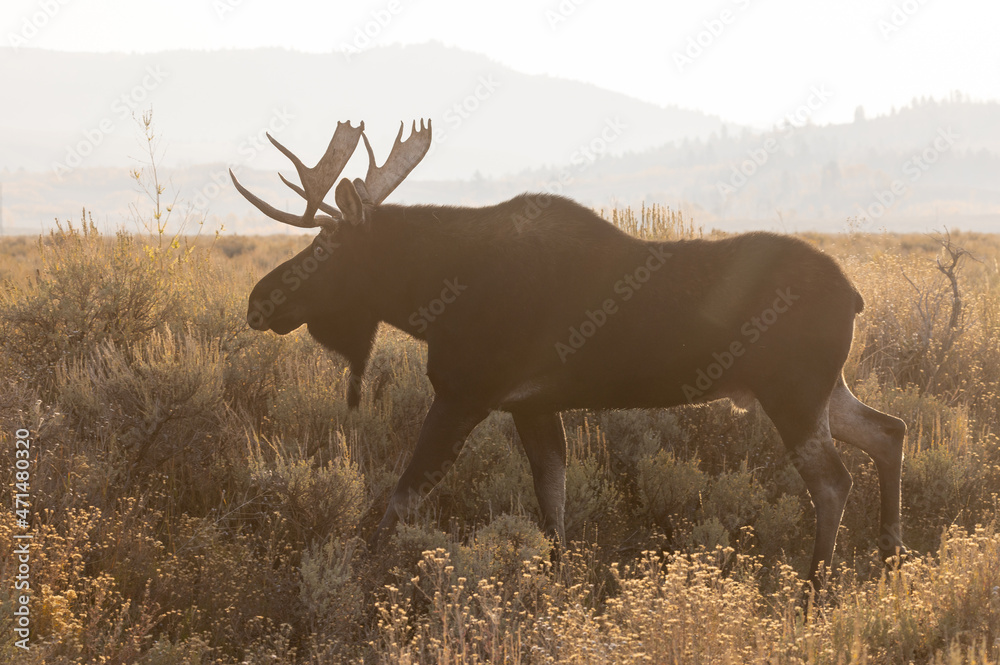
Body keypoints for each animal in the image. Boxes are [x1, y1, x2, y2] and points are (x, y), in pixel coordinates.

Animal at [231, 119, 908, 585]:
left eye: (327, 250)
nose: (259, 300)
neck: (430, 299)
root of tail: (854, 295)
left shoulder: (466, 392)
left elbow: (403, 494)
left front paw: (364, 572)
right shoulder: (531, 404)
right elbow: (551, 504)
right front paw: (556, 584)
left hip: (793, 391)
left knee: (835, 480)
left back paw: (817, 589)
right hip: (823, 388)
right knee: (889, 431)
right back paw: (891, 560)